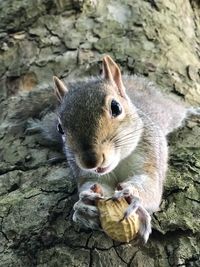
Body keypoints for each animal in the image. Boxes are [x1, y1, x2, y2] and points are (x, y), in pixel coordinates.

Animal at [28, 56, 200, 243]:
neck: (120, 161)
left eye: (116, 107)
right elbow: (95, 187)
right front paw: (84, 206)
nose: (91, 161)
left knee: (177, 108)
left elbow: (151, 187)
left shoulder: (151, 155)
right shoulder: (88, 175)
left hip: (167, 111)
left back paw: (193, 111)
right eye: (60, 128)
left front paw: (132, 194)